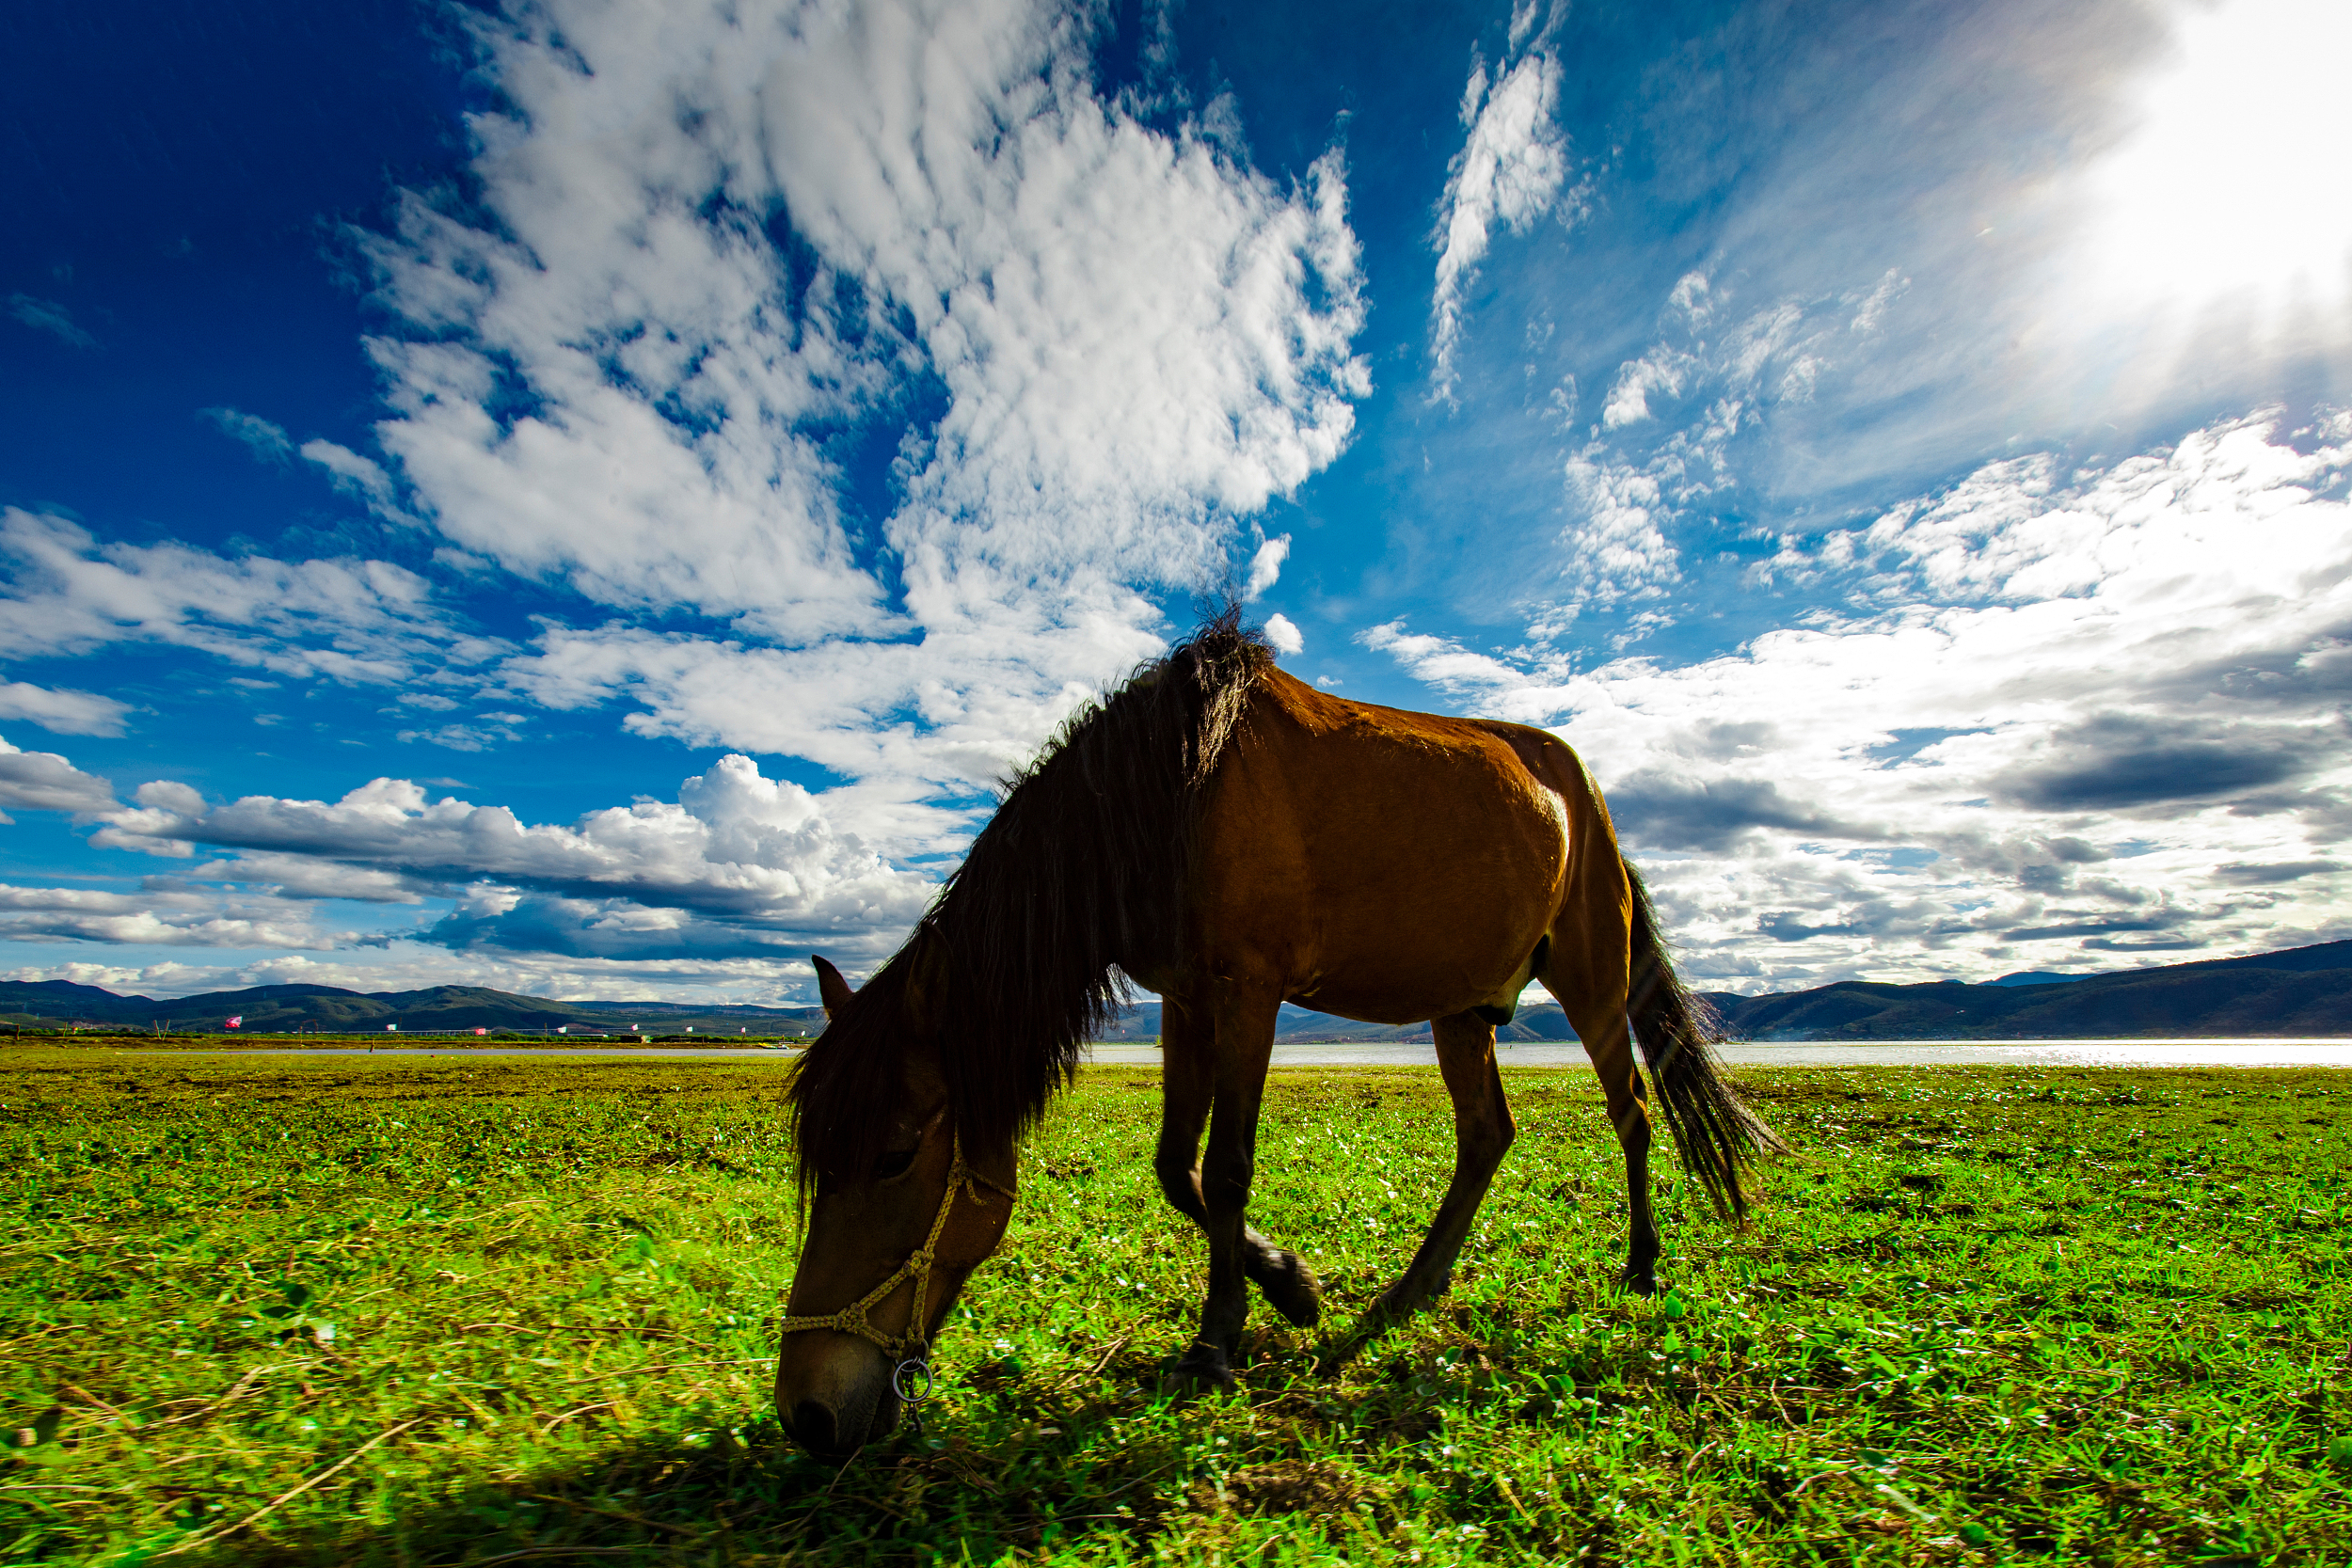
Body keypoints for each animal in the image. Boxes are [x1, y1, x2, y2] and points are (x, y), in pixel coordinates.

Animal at [774, 609, 1782, 1459]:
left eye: (897, 1153)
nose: (808, 1414)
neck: (1169, 798)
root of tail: (1587, 799)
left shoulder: (1250, 991)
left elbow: (1225, 1167)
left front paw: (1218, 1340)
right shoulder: (1187, 1000)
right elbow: (1175, 1167)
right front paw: (1292, 1286)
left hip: (1591, 982)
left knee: (1633, 1112)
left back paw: (1641, 1265)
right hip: (1461, 1009)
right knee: (1488, 1135)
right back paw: (1406, 1295)